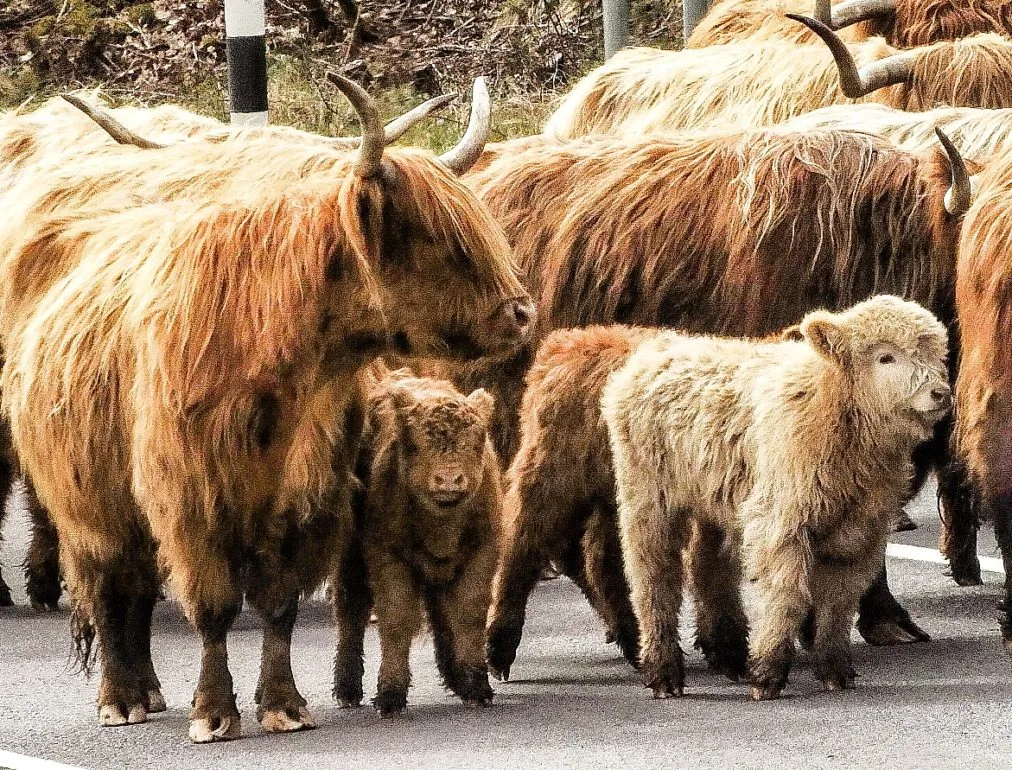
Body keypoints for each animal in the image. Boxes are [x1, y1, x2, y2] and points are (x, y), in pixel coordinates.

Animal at [331, 366, 501, 716]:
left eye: (476, 443)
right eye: (417, 445)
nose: (448, 480)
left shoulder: (482, 553)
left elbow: (469, 615)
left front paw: (477, 687)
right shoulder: (387, 558)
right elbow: (396, 620)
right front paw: (389, 697)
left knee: (439, 613)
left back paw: (456, 679)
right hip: (351, 561)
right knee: (351, 611)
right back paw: (347, 690)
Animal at [599, 293, 947, 696]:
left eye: (934, 354)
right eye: (885, 357)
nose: (940, 393)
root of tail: (657, 349)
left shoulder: (858, 532)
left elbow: (839, 601)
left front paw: (835, 671)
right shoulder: (781, 523)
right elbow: (787, 595)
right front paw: (768, 674)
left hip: (714, 503)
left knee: (708, 568)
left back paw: (729, 655)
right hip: (648, 496)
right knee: (653, 576)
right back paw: (664, 673)